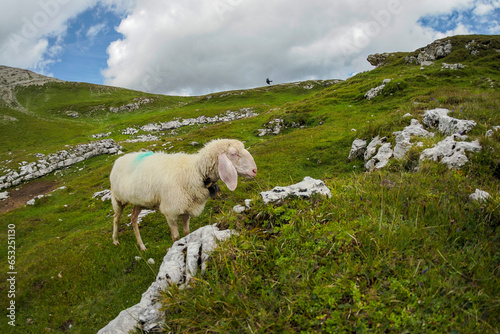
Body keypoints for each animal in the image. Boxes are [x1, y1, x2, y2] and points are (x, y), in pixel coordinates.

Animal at [110, 138, 258, 250]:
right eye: (234, 153)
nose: (254, 170)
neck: (196, 172)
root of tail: (119, 159)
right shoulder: (170, 212)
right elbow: (175, 237)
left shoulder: (187, 209)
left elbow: (187, 232)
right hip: (117, 199)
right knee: (116, 218)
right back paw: (115, 240)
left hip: (139, 201)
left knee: (133, 219)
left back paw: (141, 246)